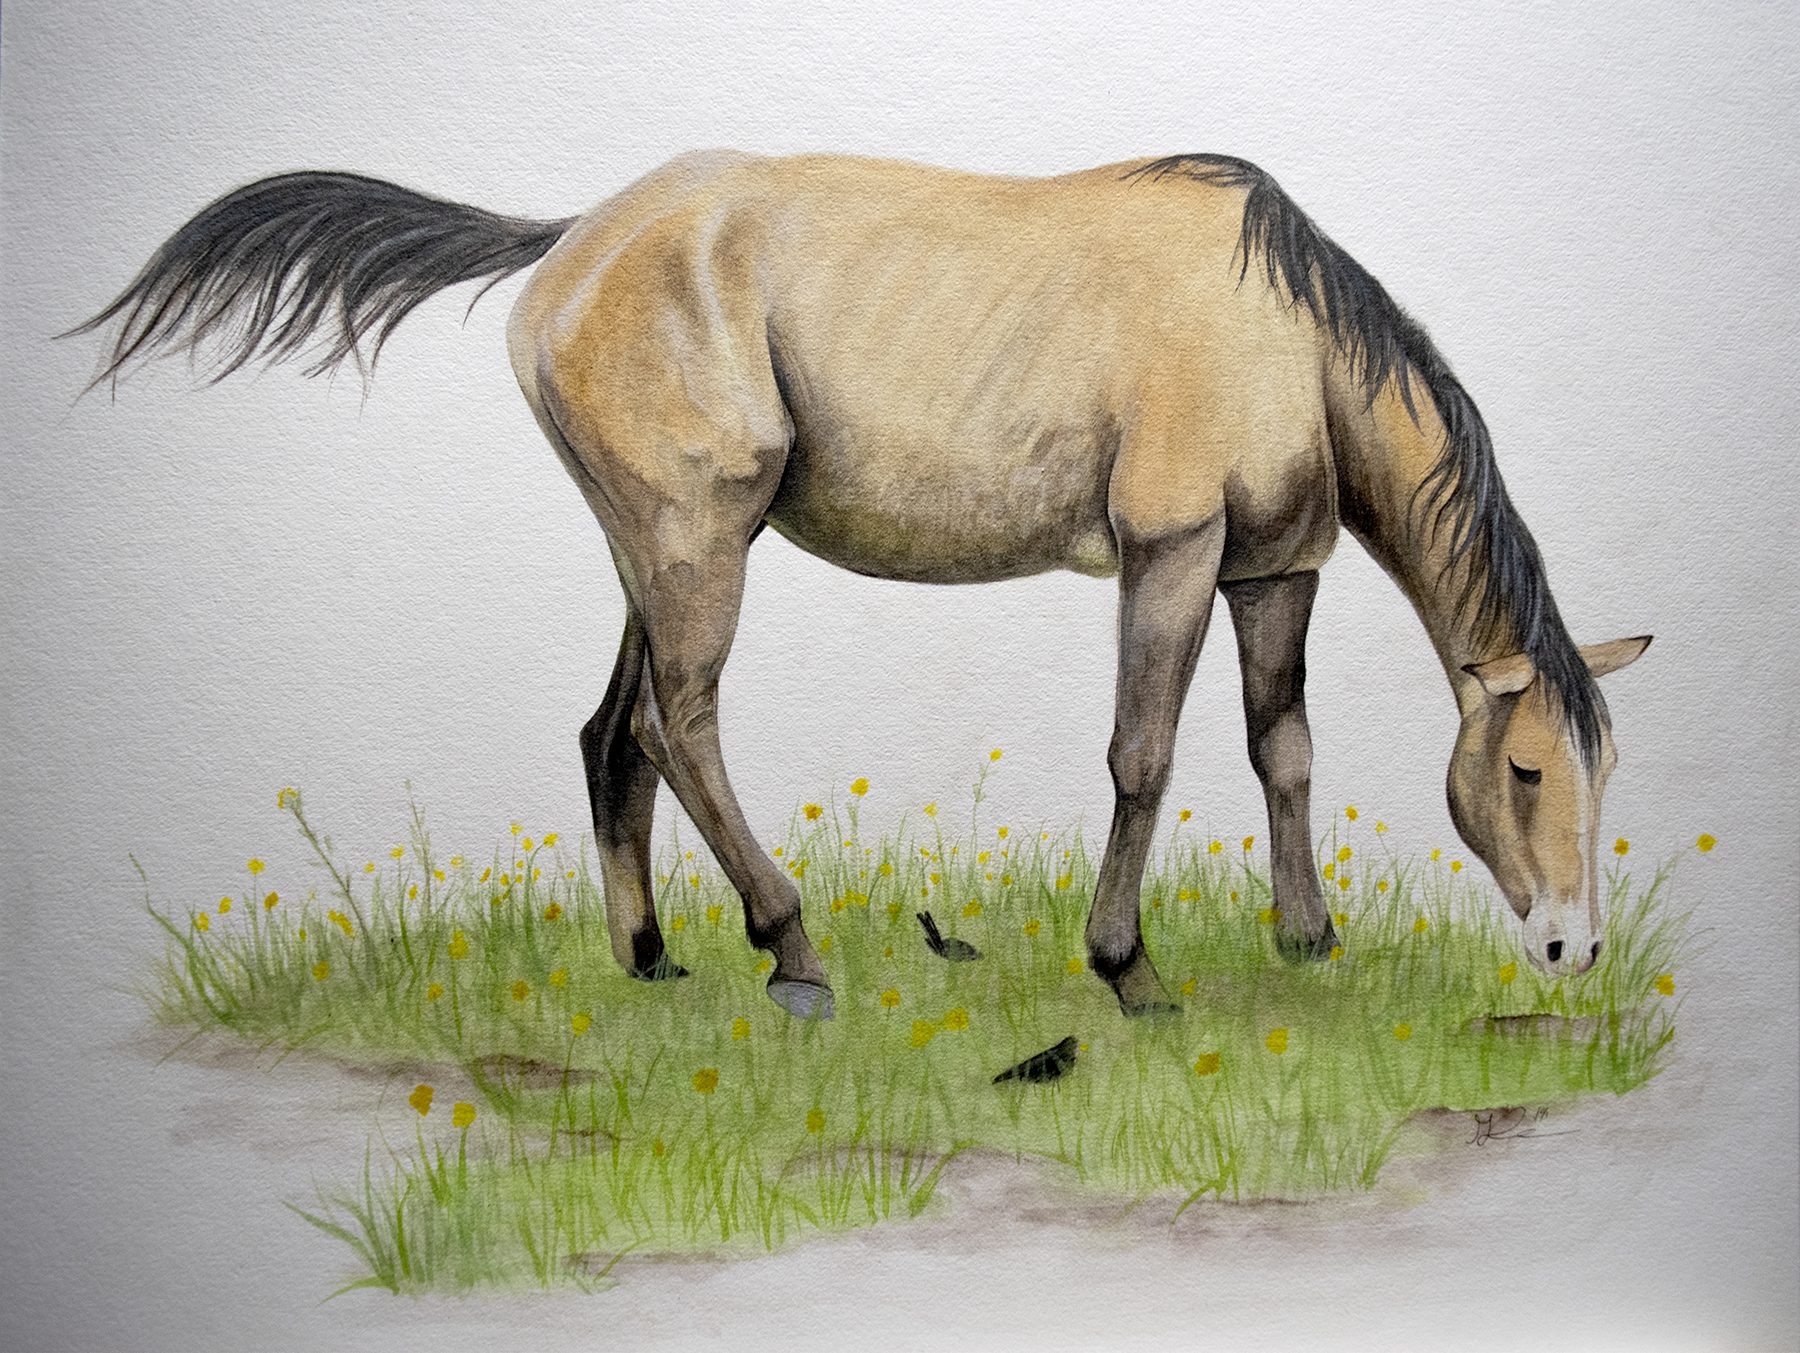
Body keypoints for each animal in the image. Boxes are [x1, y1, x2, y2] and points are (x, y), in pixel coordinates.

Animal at [73, 150, 1650, 1020]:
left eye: (1597, 768)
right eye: (1523, 769)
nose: (1571, 947)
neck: (1279, 327)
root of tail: (575, 237)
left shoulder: (1274, 571)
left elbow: (1285, 748)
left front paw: (1309, 944)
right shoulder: (1173, 556)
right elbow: (1146, 758)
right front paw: (1127, 970)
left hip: (653, 552)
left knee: (613, 734)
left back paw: (651, 961)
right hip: (701, 547)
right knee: (682, 726)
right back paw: (792, 954)